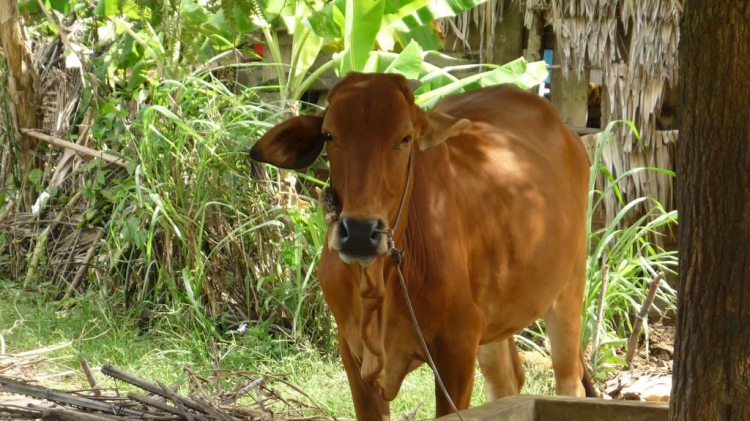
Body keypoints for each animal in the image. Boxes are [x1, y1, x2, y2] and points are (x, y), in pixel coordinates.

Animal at [253, 72, 592, 416]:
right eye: (329, 135)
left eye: (405, 138)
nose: (360, 232)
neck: (378, 286)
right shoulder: (352, 353)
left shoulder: (457, 349)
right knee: (505, 382)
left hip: (569, 290)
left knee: (569, 382)